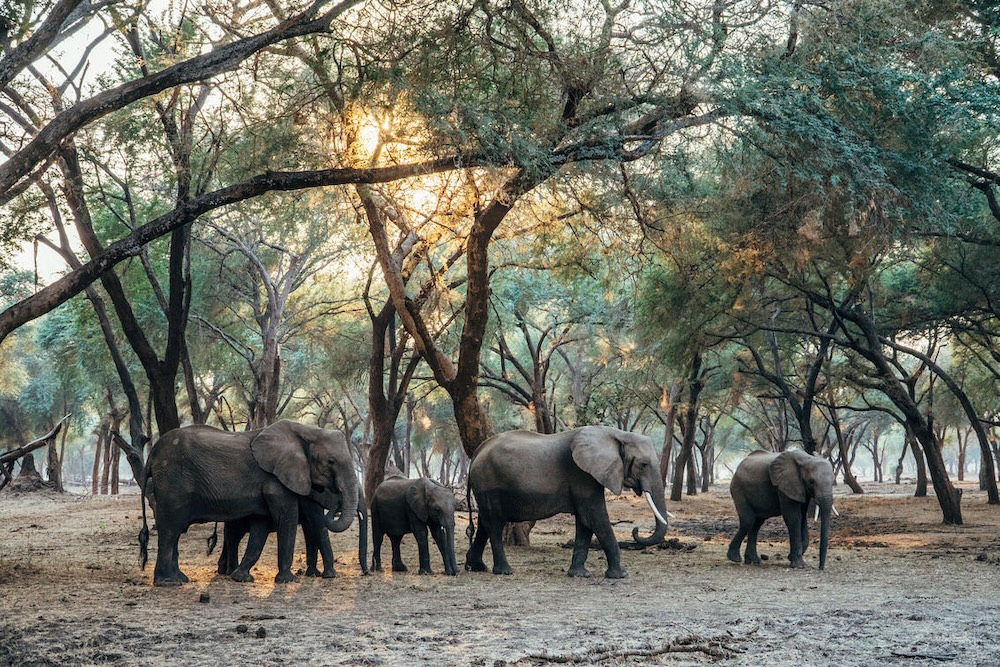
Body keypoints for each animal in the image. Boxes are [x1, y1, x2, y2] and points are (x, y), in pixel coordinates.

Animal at [139, 419, 360, 586]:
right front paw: (288, 580)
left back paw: (181, 578)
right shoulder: (275, 479)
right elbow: (286, 518)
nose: (336, 502)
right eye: (331, 461)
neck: (306, 430)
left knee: (175, 530)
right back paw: (168, 582)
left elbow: (261, 526)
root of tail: (151, 457)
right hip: (173, 482)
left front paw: (242, 578)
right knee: (171, 528)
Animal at [464, 426, 669, 578]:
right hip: (488, 481)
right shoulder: (582, 475)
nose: (636, 530)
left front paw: (579, 574)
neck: (616, 434)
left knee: (484, 522)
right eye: (643, 464)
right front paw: (621, 575)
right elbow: (595, 518)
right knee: (494, 522)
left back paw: (476, 567)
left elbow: (585, 522)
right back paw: (504, 571)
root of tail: (476, 453)